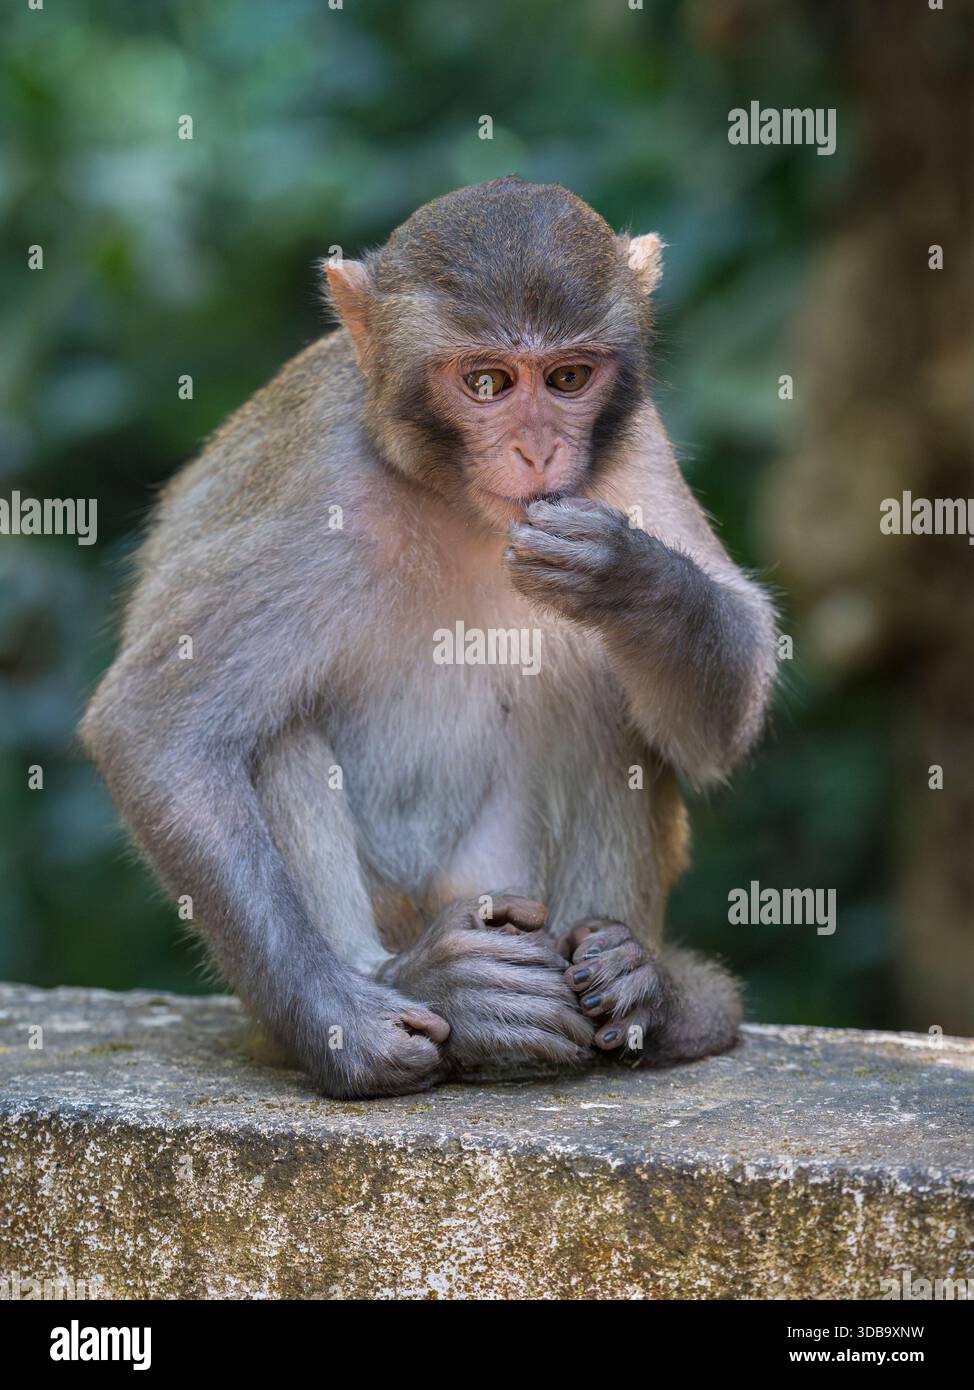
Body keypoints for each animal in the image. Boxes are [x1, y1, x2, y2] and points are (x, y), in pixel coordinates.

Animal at [81, 177, 777, 1099]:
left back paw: (635, 992)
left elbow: (722, 707)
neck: (455, 501)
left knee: (603, 709)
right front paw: (345, 1026)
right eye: (487, 381)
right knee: (268, 739)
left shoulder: (635, 449)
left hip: (494, 884)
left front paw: (628, 576)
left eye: (568, 377)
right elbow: (153, 730)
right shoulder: (323, 492)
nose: (538, 450)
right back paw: (436, 992)